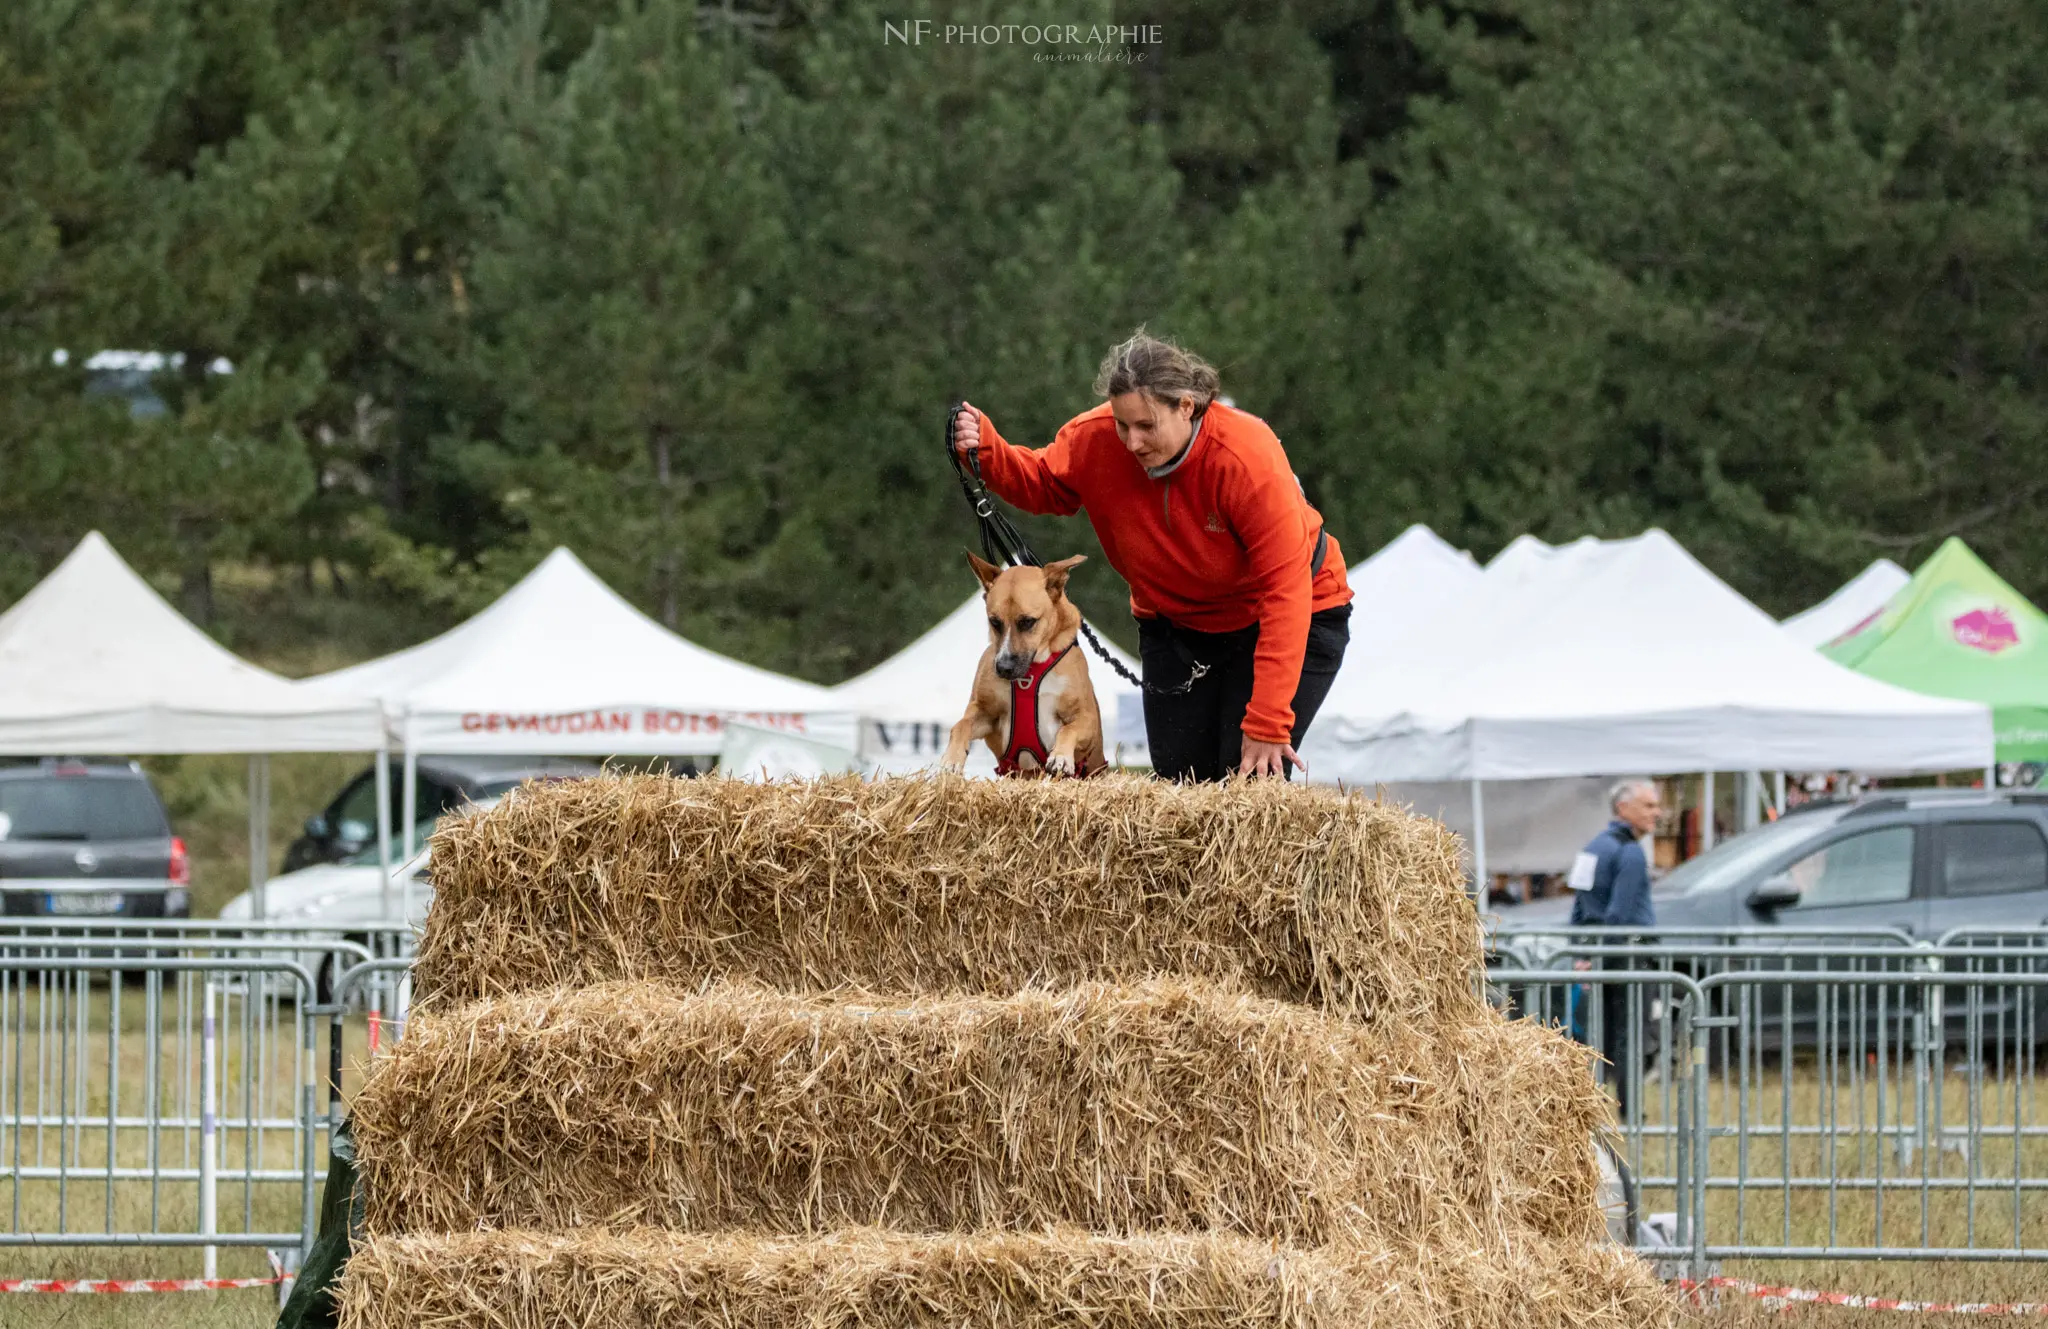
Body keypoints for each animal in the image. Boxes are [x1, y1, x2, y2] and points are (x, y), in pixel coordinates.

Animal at [937, 552, 1105, 778]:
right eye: (995, 622)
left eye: (1027, 621)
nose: (1003, 668)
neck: (1030, 672)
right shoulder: (985, 713)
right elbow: (961, 724)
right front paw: (952, 759)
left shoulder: (1086, 718)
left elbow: (1068, 728)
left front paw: (1060, 757)